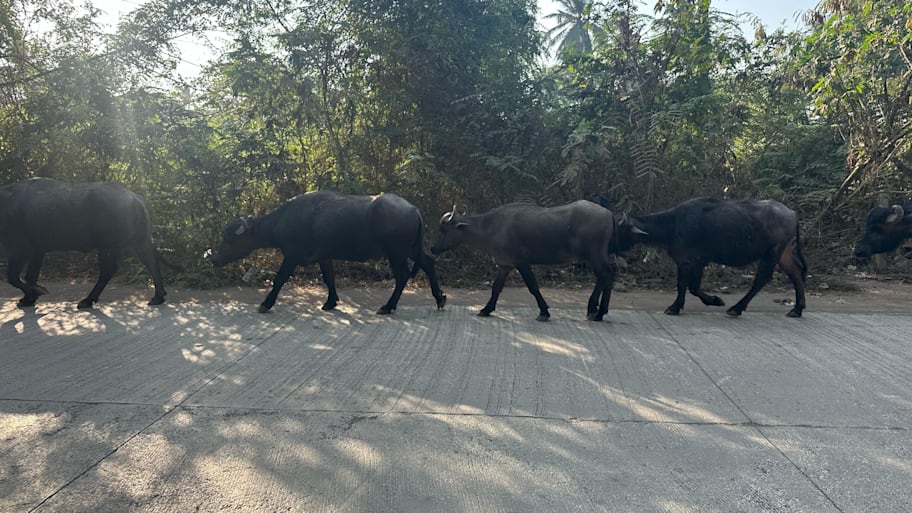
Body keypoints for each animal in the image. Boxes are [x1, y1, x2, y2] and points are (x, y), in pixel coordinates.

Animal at [0, 177, 175, 308]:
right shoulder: (37, 251)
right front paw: (29, 298)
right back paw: (158, 296)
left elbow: (13, 277)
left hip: (107, 246)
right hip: (139, 241)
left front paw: (38, 291)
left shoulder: (20, 250)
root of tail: (134, 198)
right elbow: (30, 276)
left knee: (109, 270)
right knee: (150, 262)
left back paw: (88, 299)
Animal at [211, 190, 446, 314]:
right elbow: (329, 278)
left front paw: (265, 303)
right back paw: (440, 298)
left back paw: (388, 306)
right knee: (428, 262)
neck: (284, 221)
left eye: (230, 238)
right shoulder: (324, 256)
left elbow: (279, 279)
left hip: (396, 252)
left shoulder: (292, 256)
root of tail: (413, 209)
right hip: (411, 249)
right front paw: (330, 302)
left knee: (402, 275)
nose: (215, 258)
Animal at [431, 201, 622, 322]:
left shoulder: (522, 263)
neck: (491, 228)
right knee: (607, 274)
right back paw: (597, 310)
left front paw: (544, 312)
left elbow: (533, 286)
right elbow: (496, 288)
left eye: (444, 231)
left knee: (606, 274)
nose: (433, 248)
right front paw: (486, 309)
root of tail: (608, 213)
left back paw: (596, 311)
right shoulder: (505, 266)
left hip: (594, 255)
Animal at [616, 197, 807, 317]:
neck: (673, 224)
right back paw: (797, 309)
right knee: (796, 274)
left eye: (619, 228)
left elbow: (685, 285)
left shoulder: (689, 262)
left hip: (772, 252)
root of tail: (792, 213)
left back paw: (736, 308)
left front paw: (675, 307)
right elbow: (693, 287)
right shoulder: (697, 262)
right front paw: (715, 300)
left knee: (762, 278)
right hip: (784, 253)